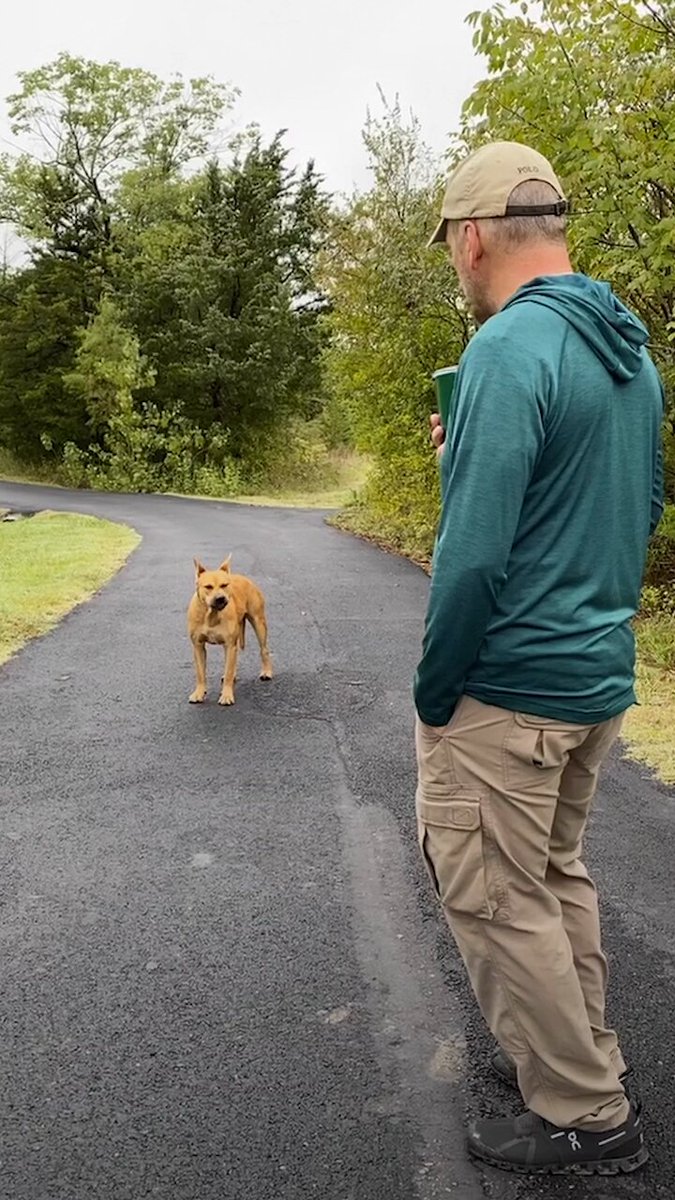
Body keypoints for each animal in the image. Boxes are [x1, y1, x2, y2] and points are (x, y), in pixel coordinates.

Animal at [184, 556, 271, 705]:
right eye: (208, 587)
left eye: (224, 585)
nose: (220, 598)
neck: (212, 614)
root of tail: (243, 577)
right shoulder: (198, 646)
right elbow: (200, 673)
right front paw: (199, 693)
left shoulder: (229, 645)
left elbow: (229, 670)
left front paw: (226, 695)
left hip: (259, 623)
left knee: (263, 650)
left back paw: (267, 672)